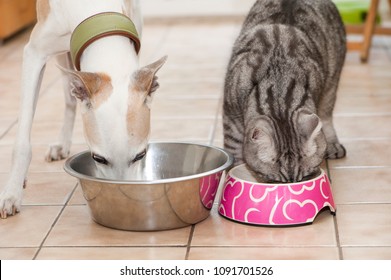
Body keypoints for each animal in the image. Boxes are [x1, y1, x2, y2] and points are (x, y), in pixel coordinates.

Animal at [0, 0, 167, 218]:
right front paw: (12, 193)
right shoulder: (34, 53)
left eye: (141, 155)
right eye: (98, 158)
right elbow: (22, 141)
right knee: (70, 98)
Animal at [224, 0, 346, 184]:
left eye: (306, 176)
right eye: (275, 181)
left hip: (332, 80)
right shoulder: (230, 117)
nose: (291, 185)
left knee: (326, 115)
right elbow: (234, 147)